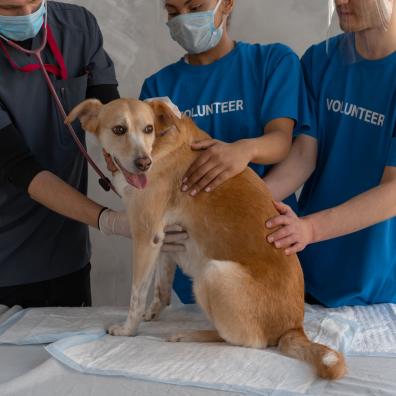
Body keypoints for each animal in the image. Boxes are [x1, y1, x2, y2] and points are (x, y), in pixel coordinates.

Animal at [66, 97, 344, 378]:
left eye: (148, 129)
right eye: (119, 130)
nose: (144, 163)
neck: (159, 143)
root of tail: (293, 328)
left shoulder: (146, 235)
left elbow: (136, 295)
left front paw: (127, 330)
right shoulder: (164, 239)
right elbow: (160, 288)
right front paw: (151, 313)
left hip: (213, 273)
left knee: (247, 341)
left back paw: (191, 335)